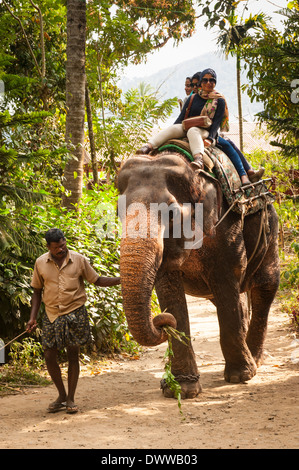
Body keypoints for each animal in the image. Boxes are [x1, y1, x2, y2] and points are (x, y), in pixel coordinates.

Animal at [117, 149, 282, 398]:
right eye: (118, 212)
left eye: (172, 213)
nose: (161, 322)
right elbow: (169, 290)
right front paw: (182, 389)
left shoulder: (225, 229)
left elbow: (225, 281)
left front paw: (240, 376)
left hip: (270, 229)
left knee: (265, 288)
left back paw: (255, 360)